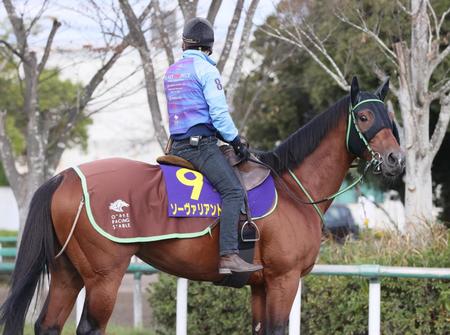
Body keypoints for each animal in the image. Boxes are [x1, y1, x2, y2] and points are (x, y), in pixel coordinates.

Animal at [0, 77, 404, 334]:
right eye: (364, 117)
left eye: (391, 118)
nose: (396, 159)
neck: (292, 188)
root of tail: (66, 176)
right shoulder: (283, 280)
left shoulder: (261, 285)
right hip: (103, 277)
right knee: (88, 327)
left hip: (67, 273)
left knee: (48, 324)